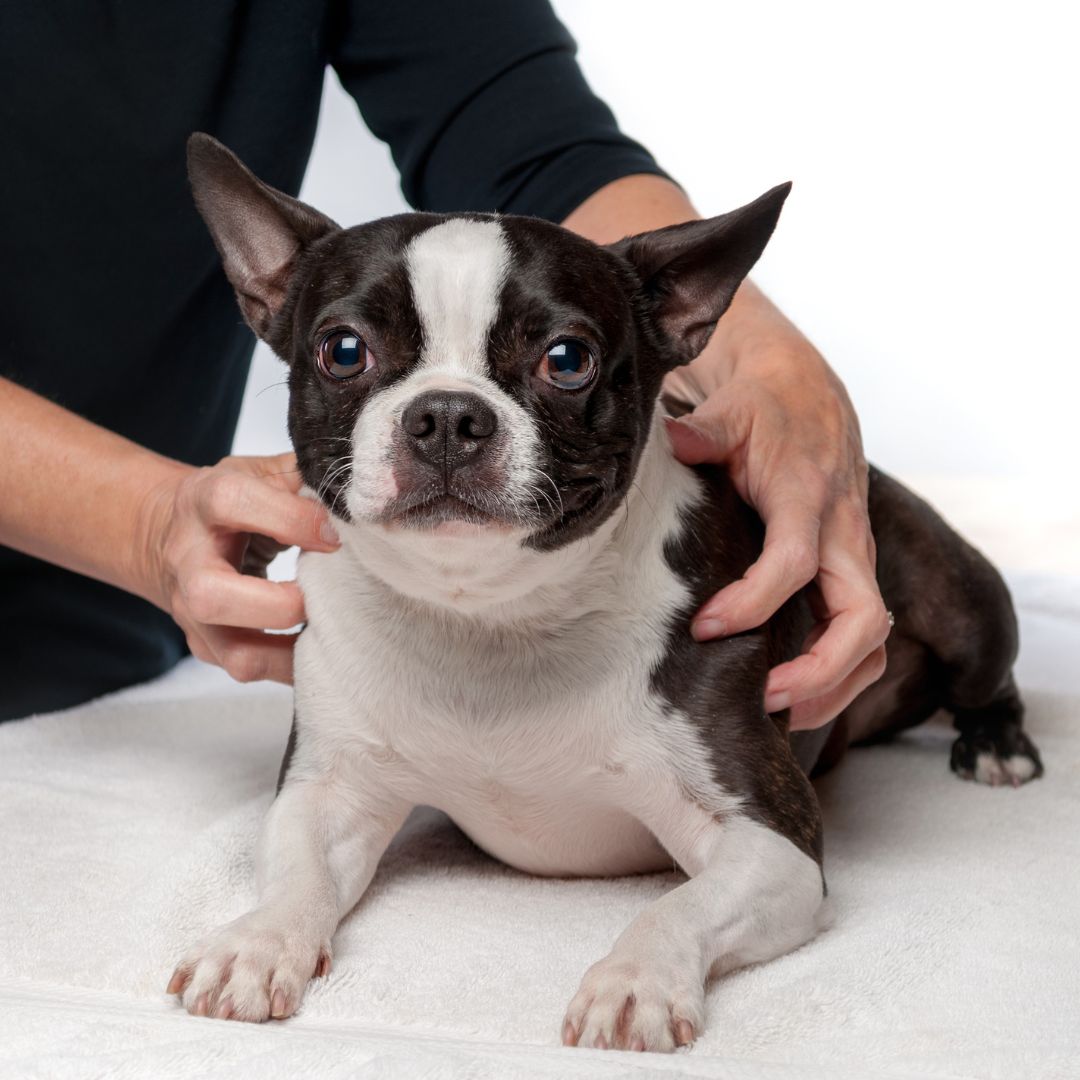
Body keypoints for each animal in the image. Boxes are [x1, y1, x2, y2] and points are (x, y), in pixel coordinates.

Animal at [170, 130, 1045, 1049]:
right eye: (343, 350)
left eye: (567, 359)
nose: (445, 415)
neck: (489, 615)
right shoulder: (328, 791)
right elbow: (295, 874)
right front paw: (257, 943)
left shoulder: (770, 843)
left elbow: (680, 905)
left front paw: (636, 980)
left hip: (951, 593)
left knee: (987, 669)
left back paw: (997, 746)